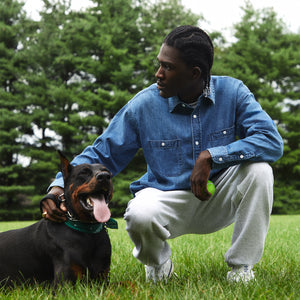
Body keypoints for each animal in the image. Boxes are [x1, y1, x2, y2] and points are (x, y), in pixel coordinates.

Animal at [0, 151, 116, 288]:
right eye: (83, 172)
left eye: (107, 171)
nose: (104, 177)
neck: (87, 230)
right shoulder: (64, 284)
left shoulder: (103, 279)